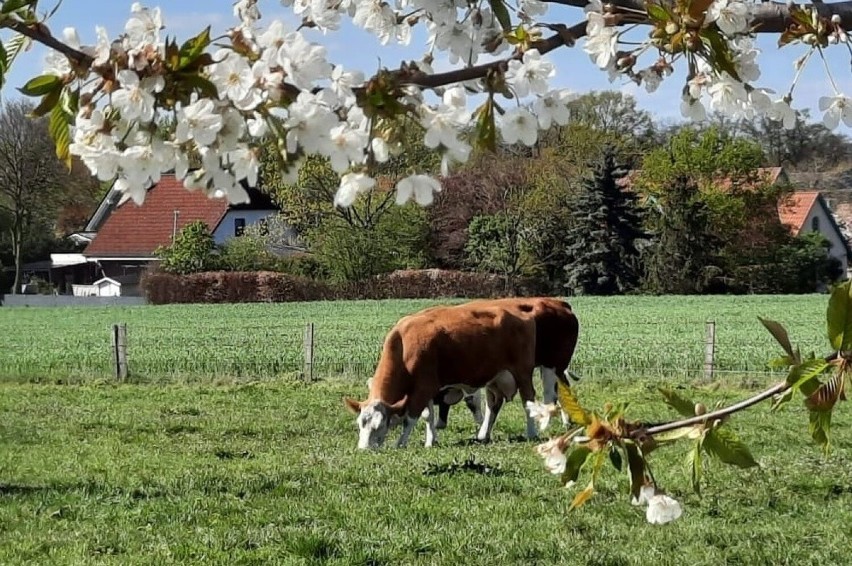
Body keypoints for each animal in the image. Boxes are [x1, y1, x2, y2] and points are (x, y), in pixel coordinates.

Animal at [342, 304, 536, 450]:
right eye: (360, 424)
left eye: (379, 425)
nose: (364, 449)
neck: (403, 345)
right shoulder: (425, 388)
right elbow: (428, 416)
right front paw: (431, 441)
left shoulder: (424, 387)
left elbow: (411, 418)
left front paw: (400, 443)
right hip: (495, 378)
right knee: (493, 404)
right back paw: (483, 435)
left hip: (523, 374)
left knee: (528, 400)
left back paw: (532, 433)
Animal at [436, 300, 584, 428]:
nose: (440, 424)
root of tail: (560, 303)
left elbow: (472, 401)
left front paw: (480, 422)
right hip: (555, 367)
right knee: (563, 390)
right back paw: (566, 421)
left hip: (552, 364)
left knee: (551, 394)